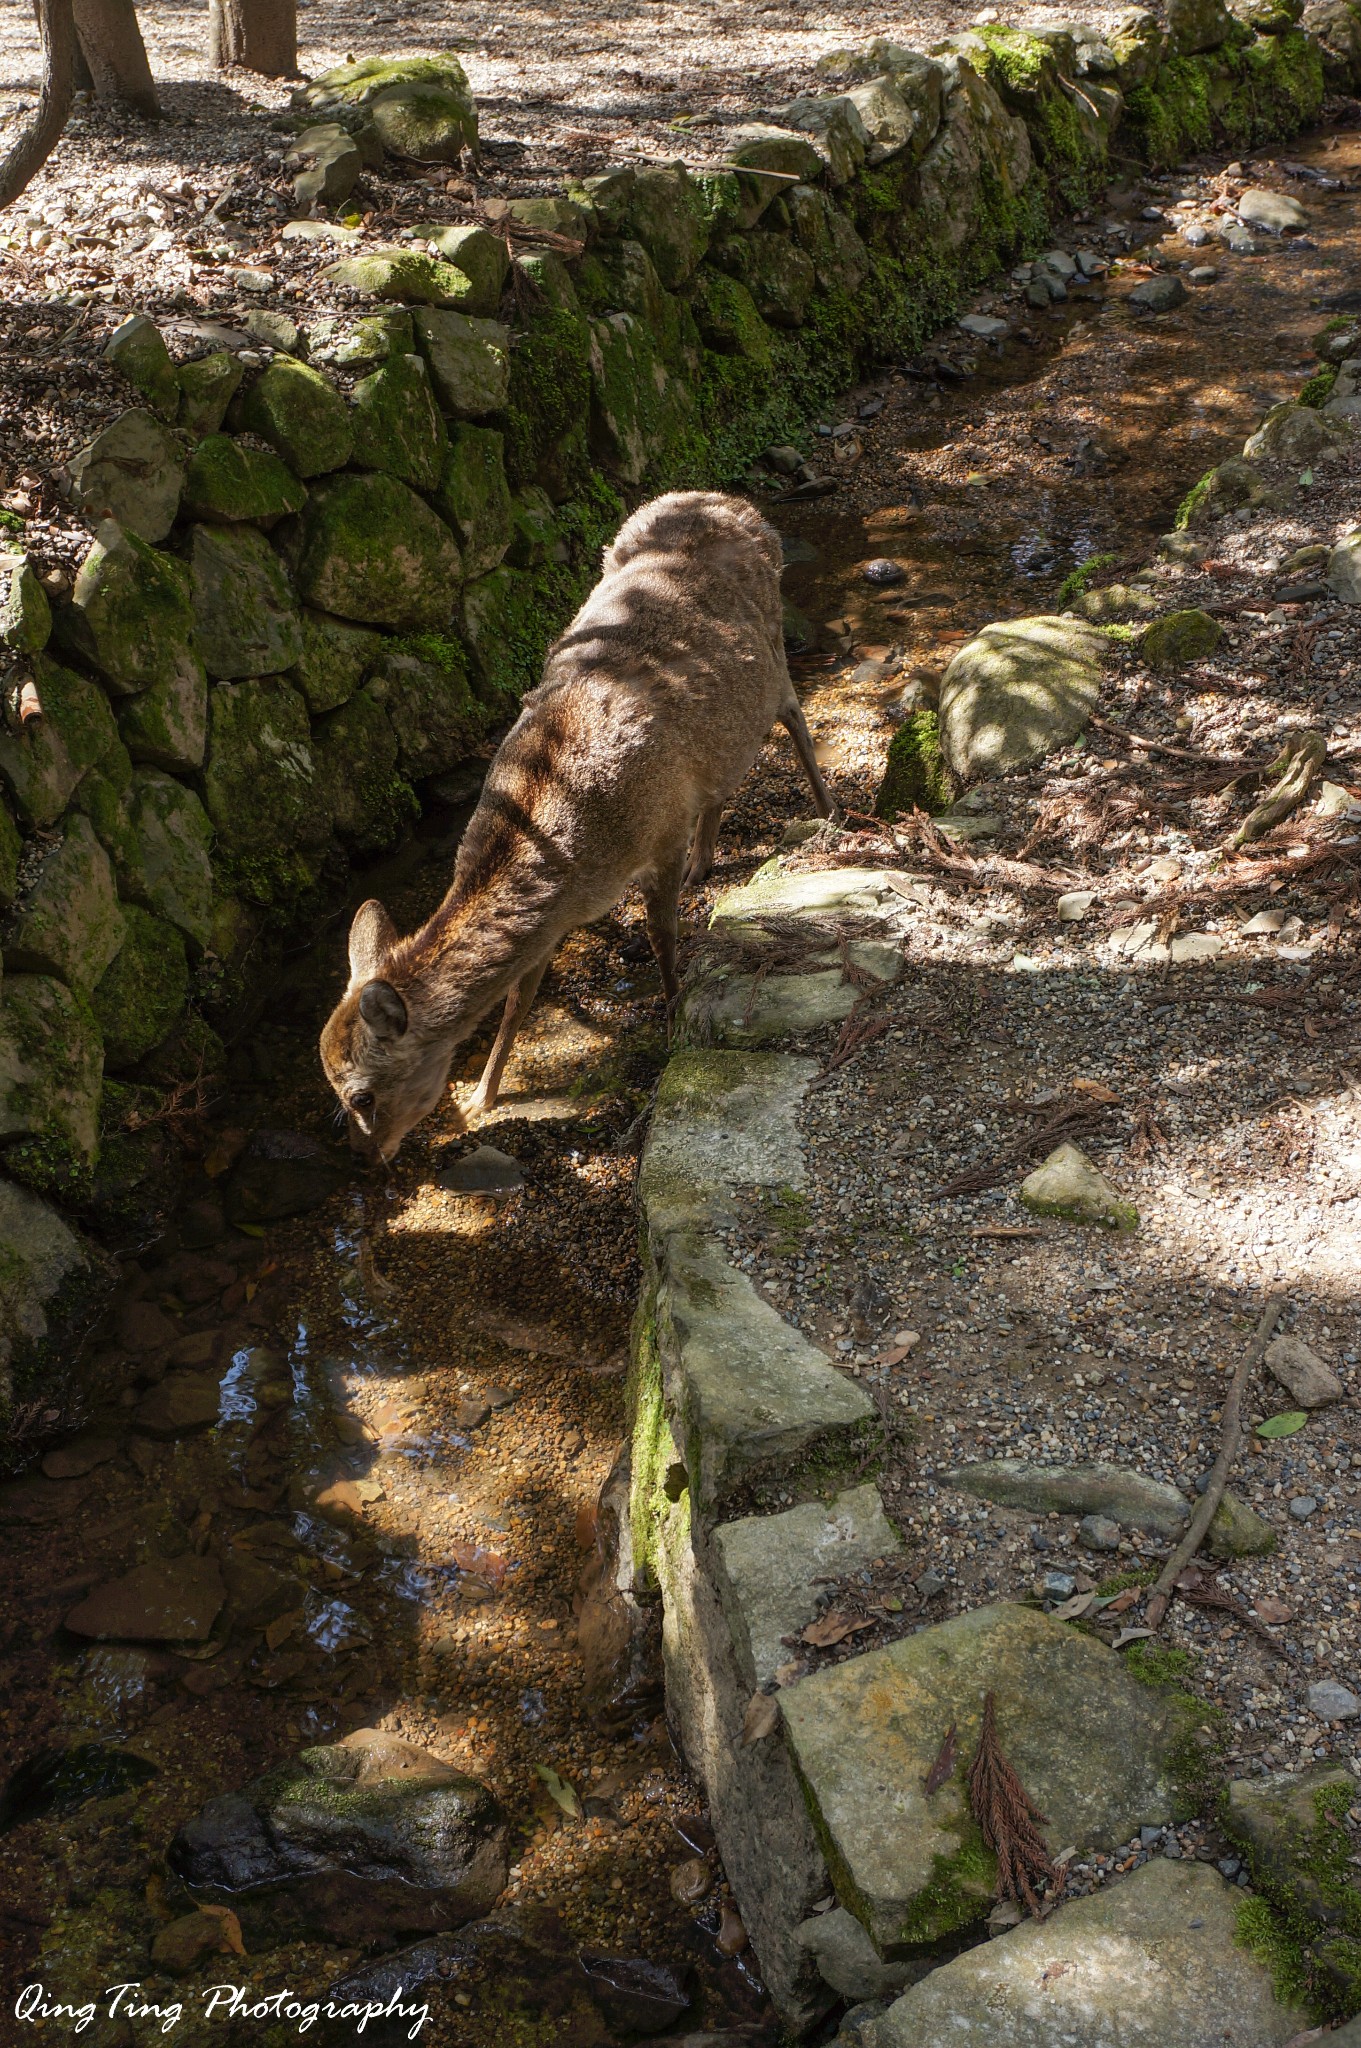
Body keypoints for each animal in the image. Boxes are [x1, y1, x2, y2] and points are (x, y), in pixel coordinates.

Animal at [319, 487, 835, 1163]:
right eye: (332, 1091)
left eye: (363, 1096)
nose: (364, 1157)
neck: (571, 854)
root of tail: (735, 502)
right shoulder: (556, 920)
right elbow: (518, 1001)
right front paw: (481, 1097)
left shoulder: (660, 832)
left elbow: (663, 938)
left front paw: (674, 1014)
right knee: (724, 775)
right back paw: (706, 863)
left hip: (773, 650)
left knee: (793, 714)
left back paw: (828, 813)